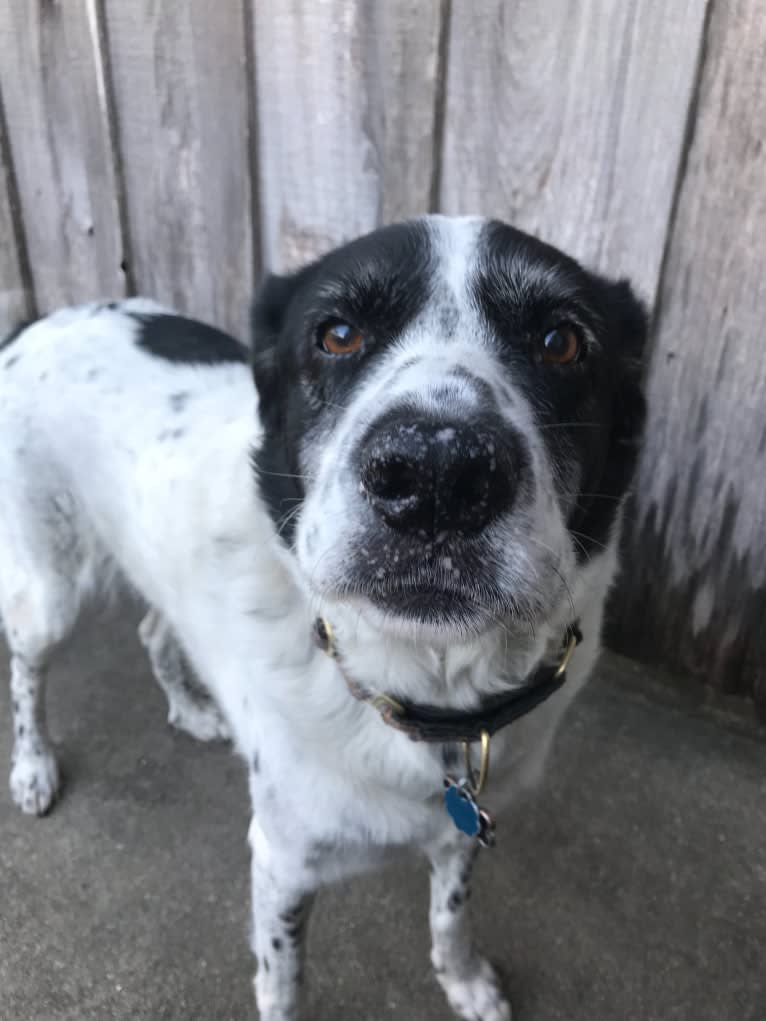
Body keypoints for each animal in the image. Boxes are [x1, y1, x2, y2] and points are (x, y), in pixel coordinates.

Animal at [0, 217, 649, 1021]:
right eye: (337, 333)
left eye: (561, 341)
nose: (436, 473)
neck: (428, 692)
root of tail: (38, 324)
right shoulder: (282, 859)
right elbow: (284, 981)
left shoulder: (462, 832)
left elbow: (451, 915)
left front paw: (464, 982)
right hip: (49, 588)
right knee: (28, 665)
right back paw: (33, 767)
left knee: (154, 630)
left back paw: (191, 709)